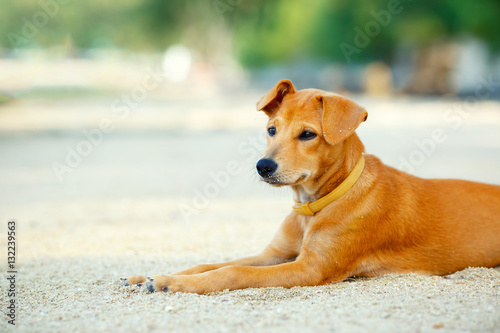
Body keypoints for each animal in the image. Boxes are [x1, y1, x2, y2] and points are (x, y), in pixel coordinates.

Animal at [121, 79, 500, 292]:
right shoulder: (274, 255)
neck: (314, 204)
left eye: (307, 135)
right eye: (271, 129)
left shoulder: (311, 267)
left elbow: (232, 272)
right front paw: (149, 276)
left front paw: (172, 282)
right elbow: (213, 264)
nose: (263, 166)